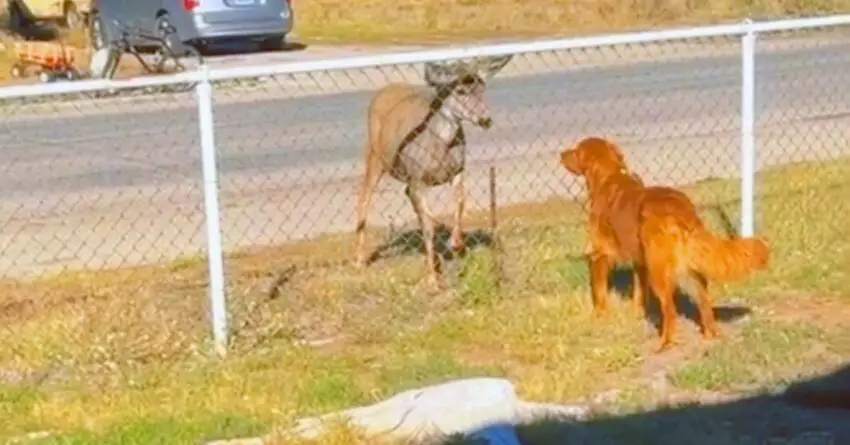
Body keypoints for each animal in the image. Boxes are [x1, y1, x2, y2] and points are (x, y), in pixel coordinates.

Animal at [352, 55, 510, 286]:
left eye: (482, 89)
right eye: (460, 91)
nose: (485, 119)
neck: (440, 144)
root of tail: (383, 91)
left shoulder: (457, 170)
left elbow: (460, 201)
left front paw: (455, 242)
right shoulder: (418, 179)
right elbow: (429, 225)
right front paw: (433, 280)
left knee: (407, 198)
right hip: (375, 156)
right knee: (364, 197)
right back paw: (359, 260)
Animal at [556, 135, 768, 350]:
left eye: (576, 150)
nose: (561, 154)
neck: (609, 177)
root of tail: (679, 207)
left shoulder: (599, 254)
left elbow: (599, 293)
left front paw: (600, 317)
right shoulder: (640, 262)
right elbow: (639, 293)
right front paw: (637, 314)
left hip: (658, 269)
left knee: (670, 309)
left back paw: (665, 342)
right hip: (686, 265)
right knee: (704, 299)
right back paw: (711, 333)